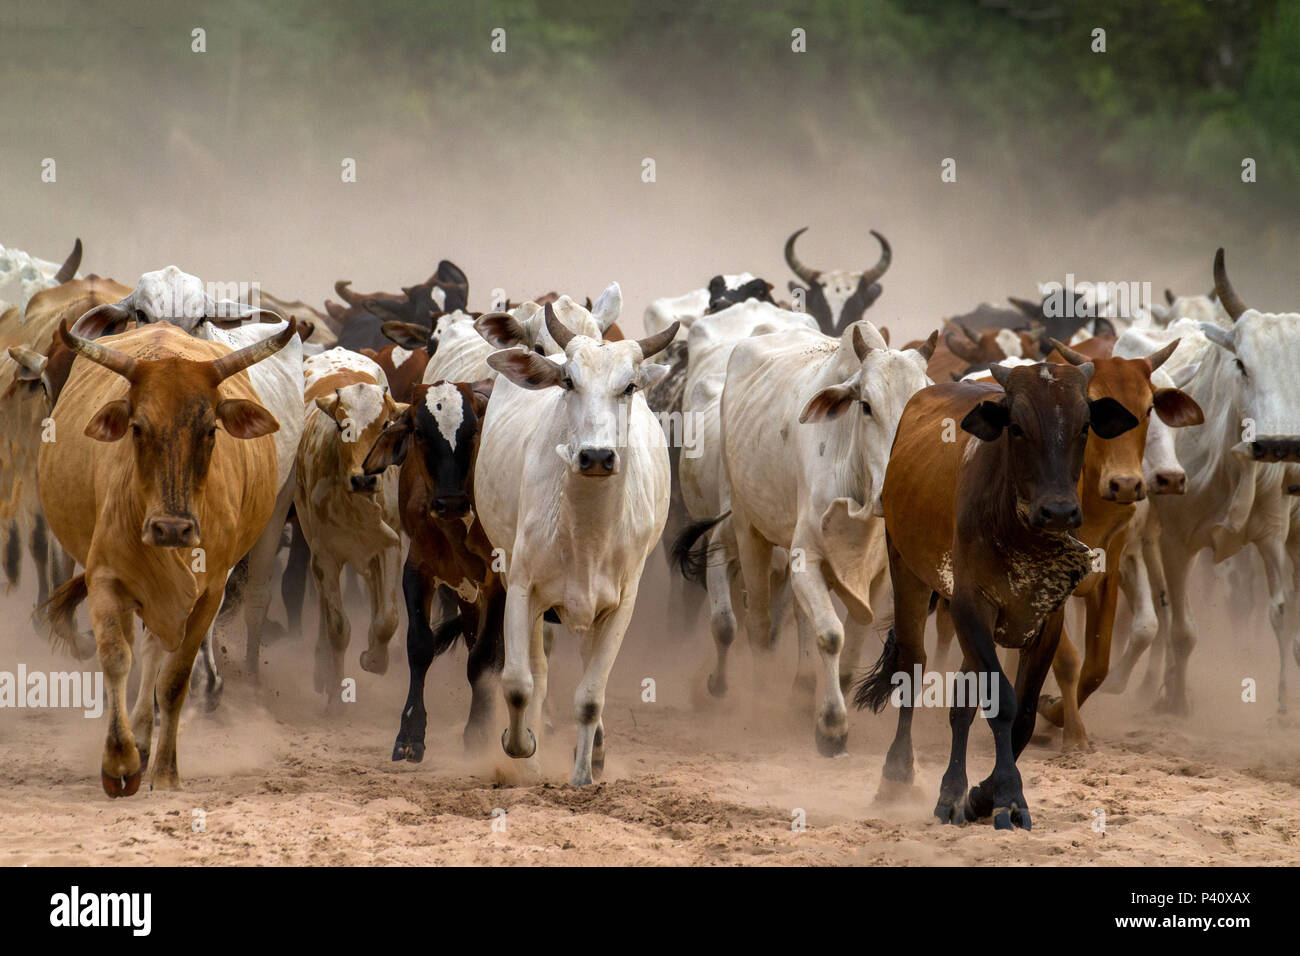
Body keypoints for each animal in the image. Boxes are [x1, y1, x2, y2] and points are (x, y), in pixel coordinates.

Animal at [361, 377, 501, 759]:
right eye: (420, 433)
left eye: (473, 431)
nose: (450, 502)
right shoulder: (418, 571)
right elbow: (420, 646)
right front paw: (410, 732)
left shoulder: (500, 580)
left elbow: (484, 659)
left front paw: (479, 732)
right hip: (467, 596)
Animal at [478, 287, 681, 790]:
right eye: (569, 382)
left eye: (629, 387)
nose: (596, 456)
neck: (586, 533)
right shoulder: (521, 587)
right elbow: (519, 683)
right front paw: (522, 749)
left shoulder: (622, 603)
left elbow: (591, 695)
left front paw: (584, 774)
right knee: (538, 671)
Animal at [722, 321, 935, 754]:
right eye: (866, 405)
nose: (892, 492)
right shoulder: (805, 557)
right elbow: (832, 634)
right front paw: (832, 728)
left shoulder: (879, 577)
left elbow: (851, 649)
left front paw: (830, 707)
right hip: (747, 525)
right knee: (759, 624)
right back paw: (760, 698)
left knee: (800, 617)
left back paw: (803, 692)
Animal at [852, 361, 1138, 827]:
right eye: (1017, 427)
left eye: (1083, 427)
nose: (1059, 511)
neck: (1019, 527)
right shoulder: (973, 607)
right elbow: (1001, 701)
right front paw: (1007, 796)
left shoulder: (1047, 620)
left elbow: (1021, 714)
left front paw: (980, 795)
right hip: (907, 573)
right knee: (912, 665)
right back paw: (896, 776)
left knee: (962, 704)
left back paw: (951, 792)